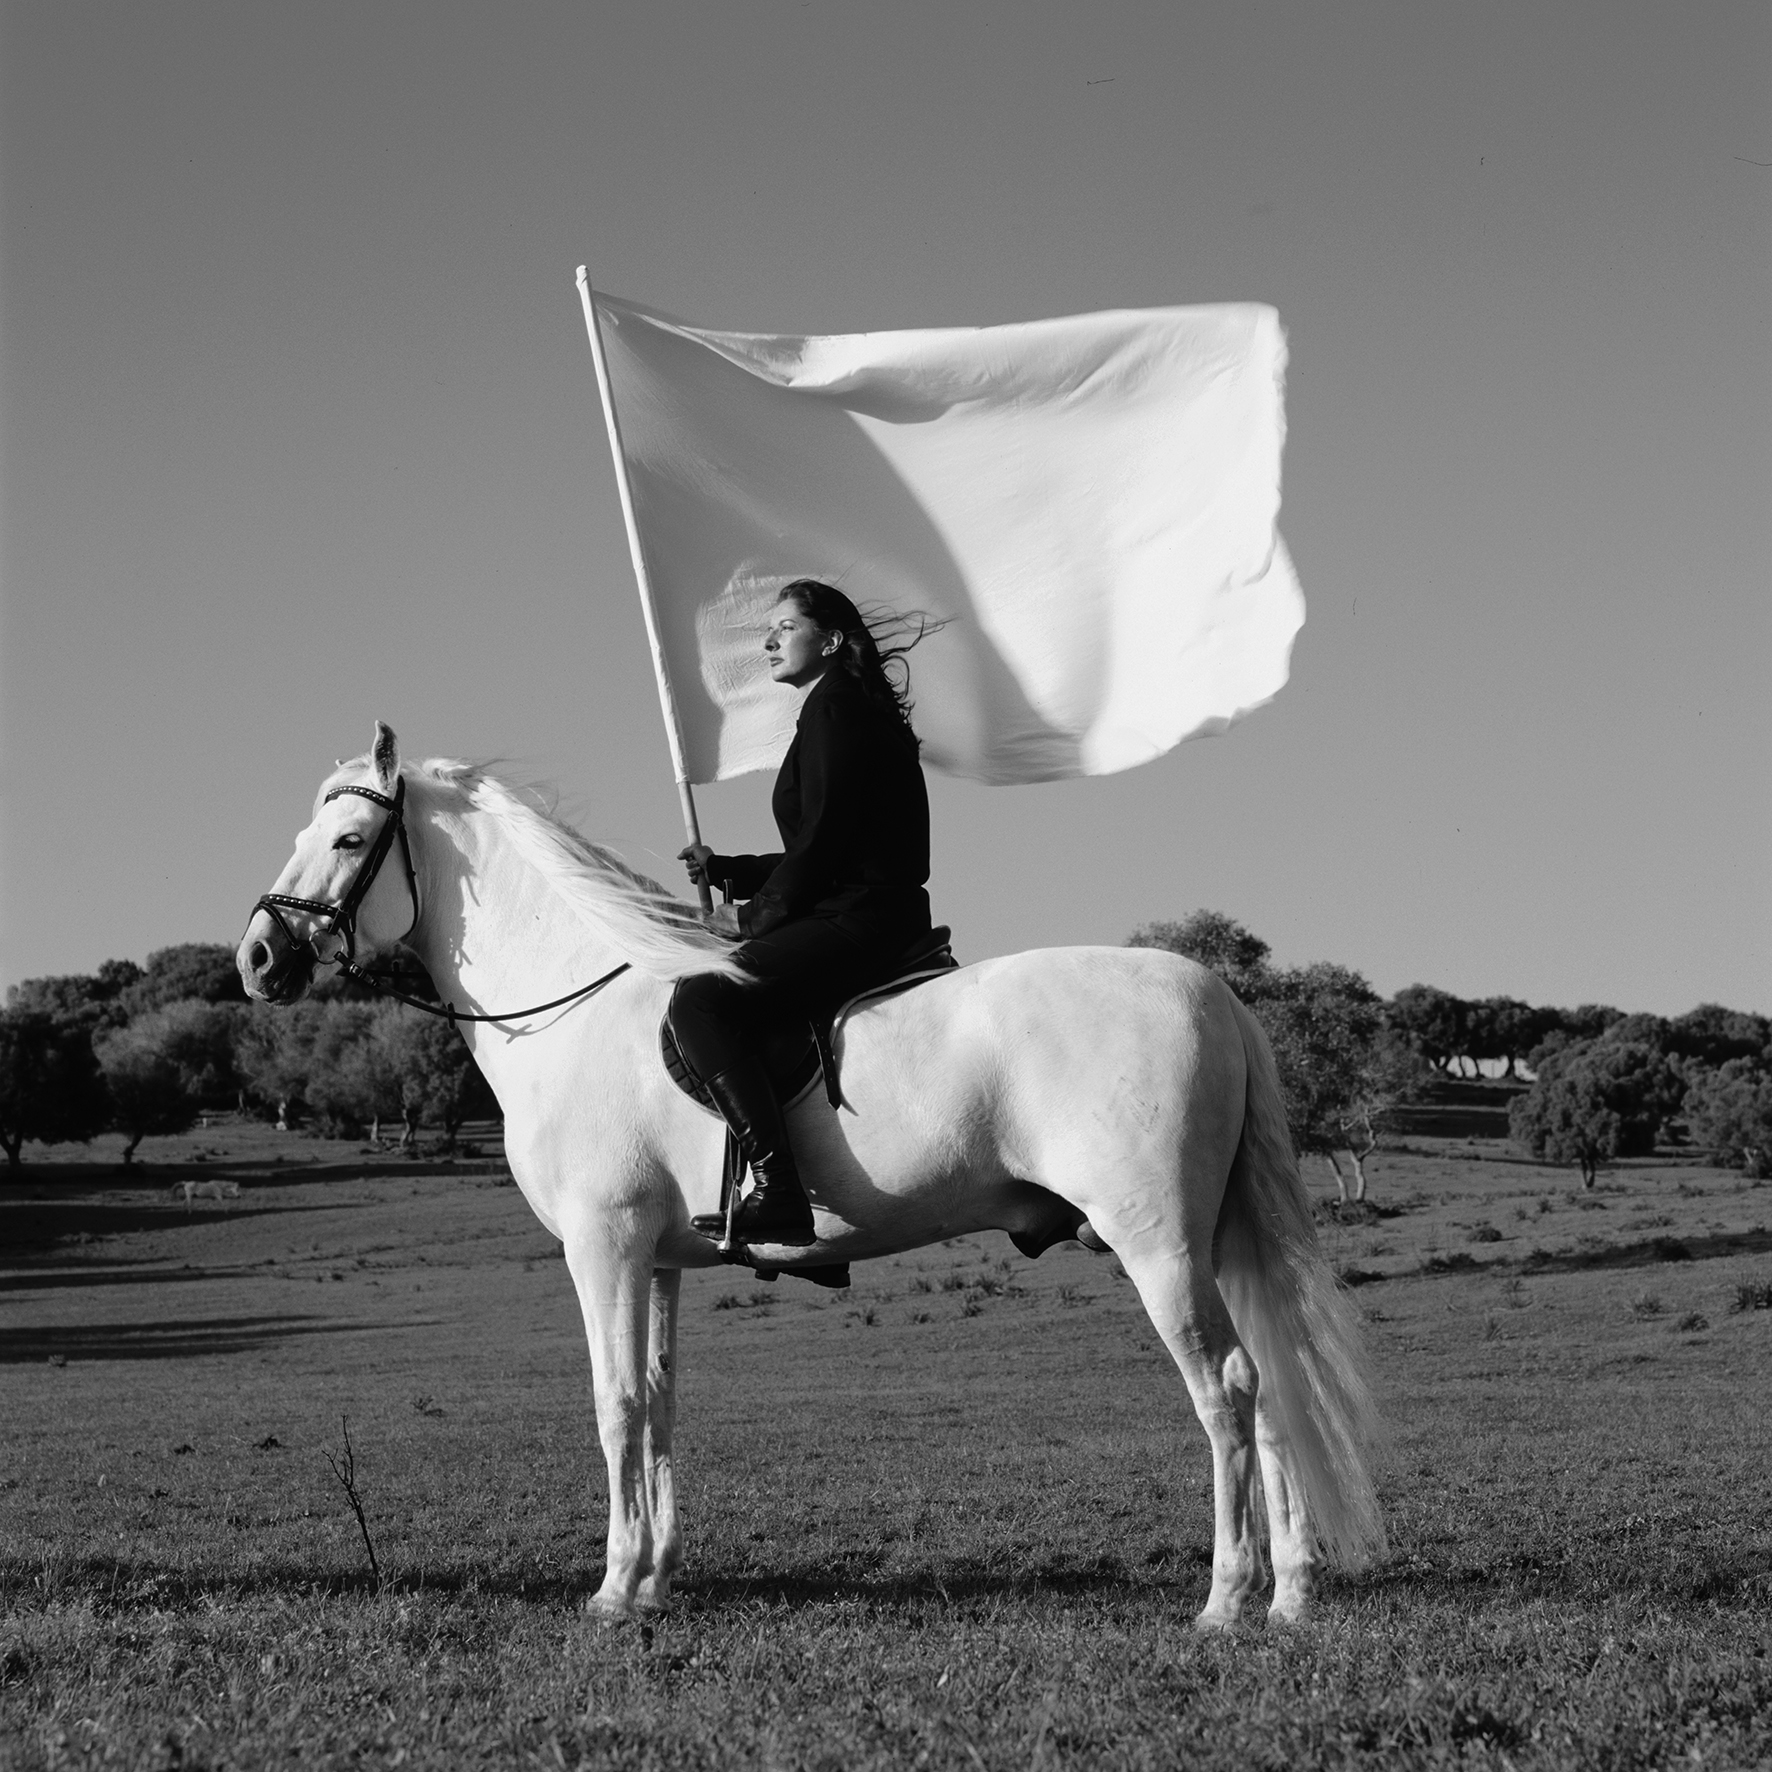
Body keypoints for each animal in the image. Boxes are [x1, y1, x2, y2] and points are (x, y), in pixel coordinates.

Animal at [239, 726, 1382, 1623]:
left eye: (349, 841)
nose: (256, 959)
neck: (579, 1003)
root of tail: (1212, 988)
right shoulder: (661, 1260)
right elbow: (659, 1406)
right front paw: (654, 1580)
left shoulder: (605, 1247)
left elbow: (615, 1403)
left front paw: (612, 1588)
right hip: (1213, 1245)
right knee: (1268, 1386)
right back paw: (1287, 1596)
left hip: (1157, 1246)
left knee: (1225, 1387)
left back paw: (1226, 1596)